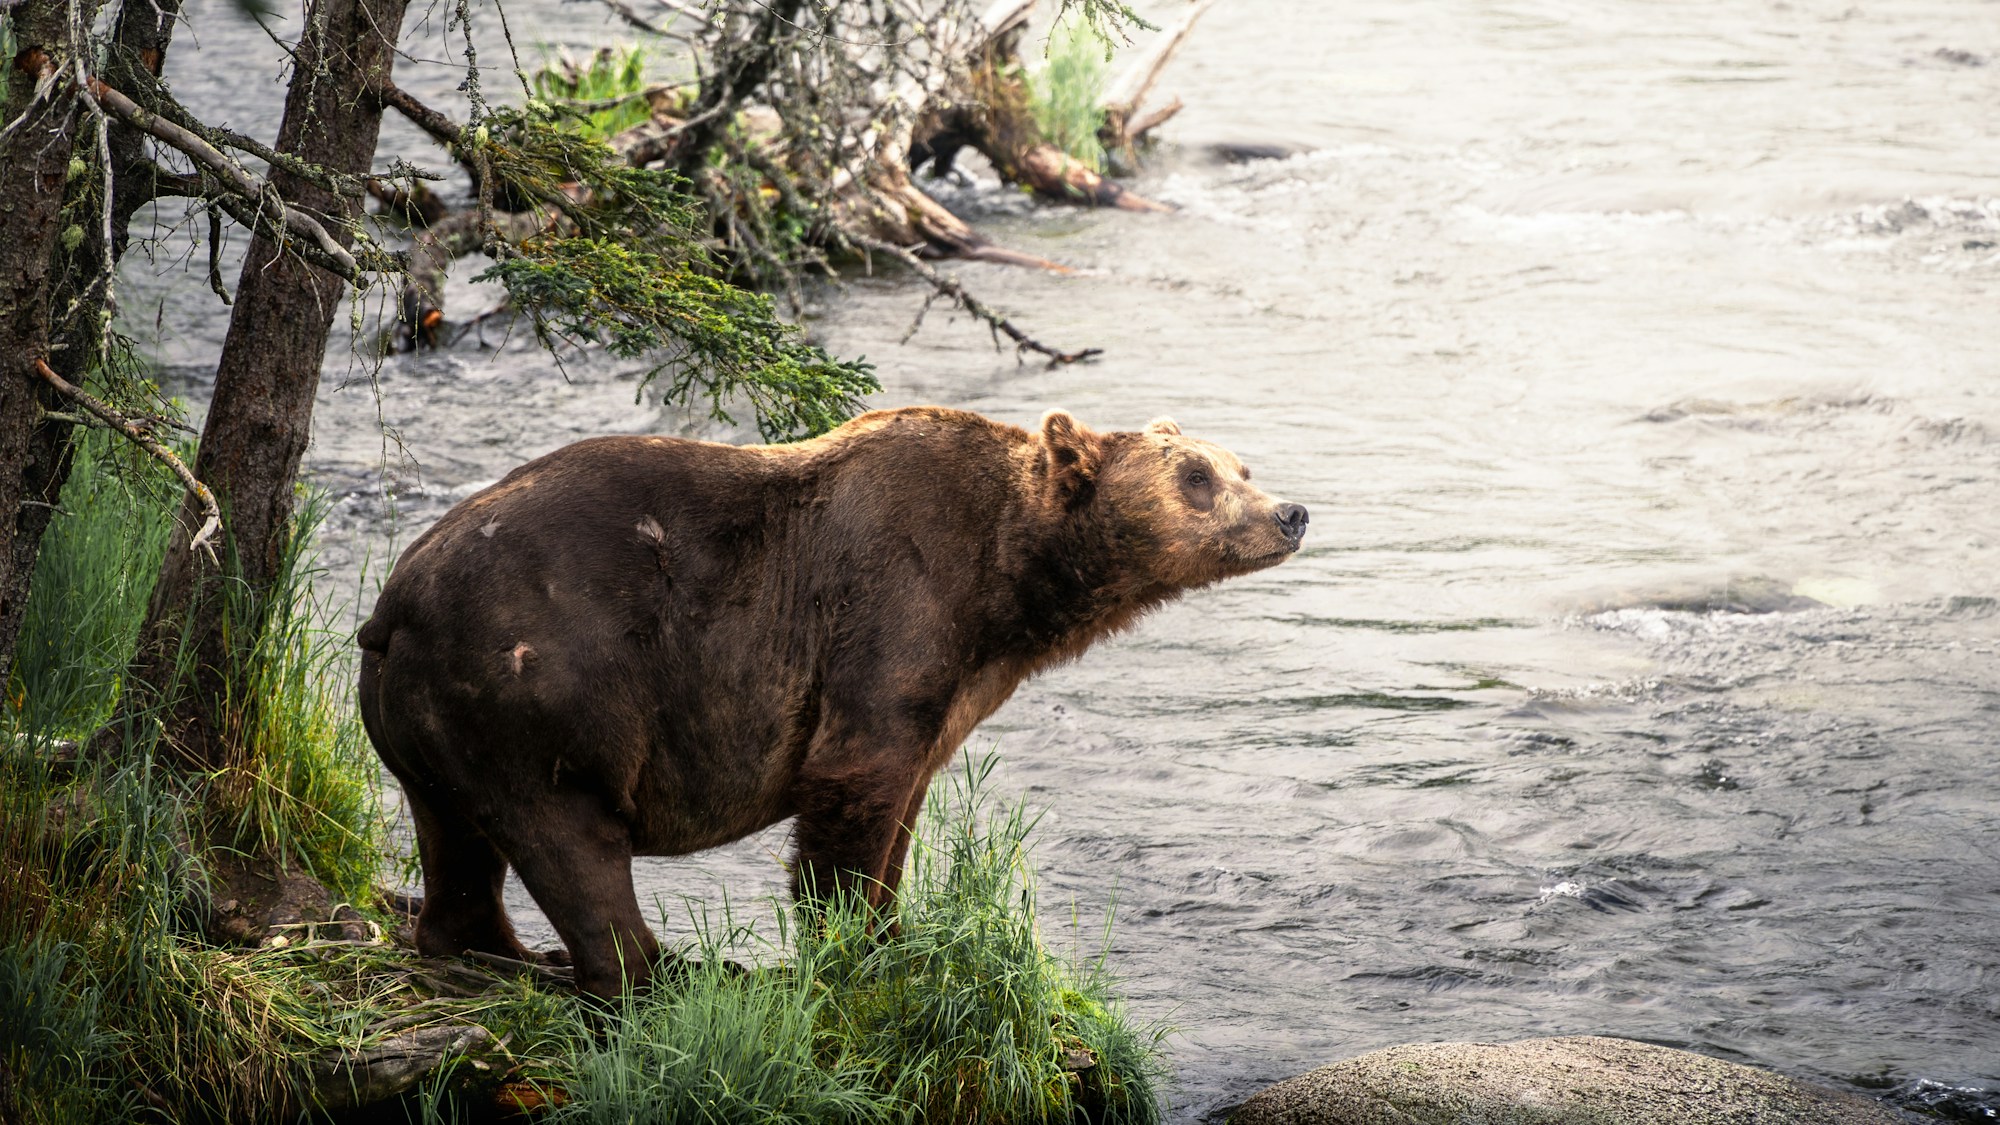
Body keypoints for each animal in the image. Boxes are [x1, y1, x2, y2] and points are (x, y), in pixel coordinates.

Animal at [356, 407, 1308, 996]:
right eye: (1196, 475)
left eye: (1242, 464)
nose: (1291, 511)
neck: (1008, 582)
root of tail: (394, 602)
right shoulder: (893, 601)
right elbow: (854, 776)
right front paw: (850, 939)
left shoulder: (955, 684)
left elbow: (905, 800)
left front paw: (896, 928)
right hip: (542, 685)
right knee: (574, 839)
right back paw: (650, 972)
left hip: (433, 716)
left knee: (456, 832)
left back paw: (491, 945)